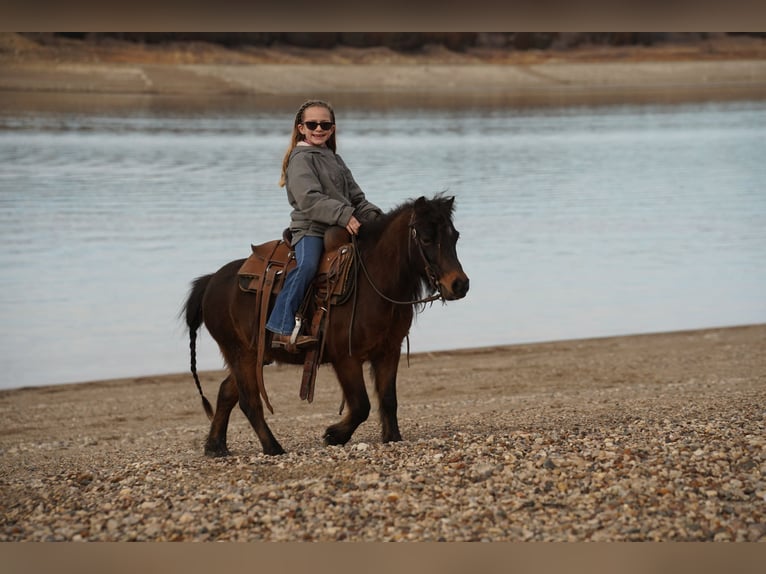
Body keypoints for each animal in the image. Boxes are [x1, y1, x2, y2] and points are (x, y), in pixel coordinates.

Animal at [182, 194, 469, 457]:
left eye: (454, 236)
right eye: (426, 239)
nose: (459, 284)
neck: (373, 282)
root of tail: (211, 281)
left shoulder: (388, 352)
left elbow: (388, 399)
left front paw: (392, 437)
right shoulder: (346, 358)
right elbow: (361, 405)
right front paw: (334, 435)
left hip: (254, 357)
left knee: (226, 392)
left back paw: (215, 446)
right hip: (241, 354)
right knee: (249, 401)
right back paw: (273, 448)